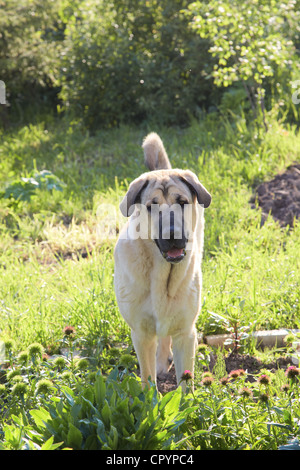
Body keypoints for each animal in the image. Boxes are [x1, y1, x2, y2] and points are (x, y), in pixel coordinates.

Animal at [113, 132, 212, 390]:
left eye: (182, 202)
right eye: (152, 206)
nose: (173, 234)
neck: (161, 274)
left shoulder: (185, 332)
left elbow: (186, 381)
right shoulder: (141, 334)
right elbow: (148, 378)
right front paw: (150, 398)